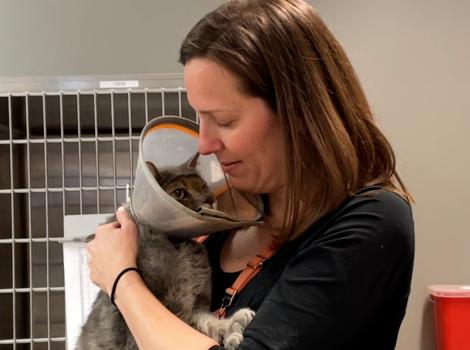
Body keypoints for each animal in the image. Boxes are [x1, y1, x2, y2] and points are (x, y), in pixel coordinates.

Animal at [76, 154, 253, 350]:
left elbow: (206, 321)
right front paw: (232, 328)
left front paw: (232, 324)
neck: (178, 246)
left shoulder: (195, 305)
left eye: (204, 186)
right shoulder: (167, 306)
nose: (208, 200)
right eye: (179, 192)